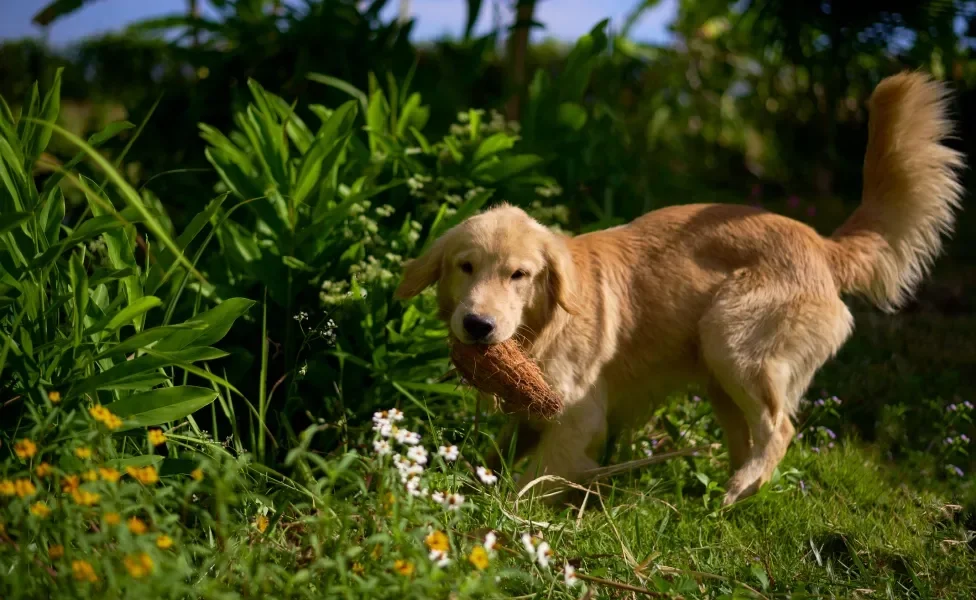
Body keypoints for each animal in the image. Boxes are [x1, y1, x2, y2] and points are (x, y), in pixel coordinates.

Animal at [394, 74, 960, 506]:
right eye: (465, 267)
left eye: (519, 275)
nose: (477, 325)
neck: (541, 330)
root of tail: (819, 242)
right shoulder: (528, 416)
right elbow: (498, 454)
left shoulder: (578, 418)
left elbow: (530, 480)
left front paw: (501, 517)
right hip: (720, 376)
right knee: (751, 435)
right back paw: (727, 496)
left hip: (733, 342)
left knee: (780, 430)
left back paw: (737, 490)